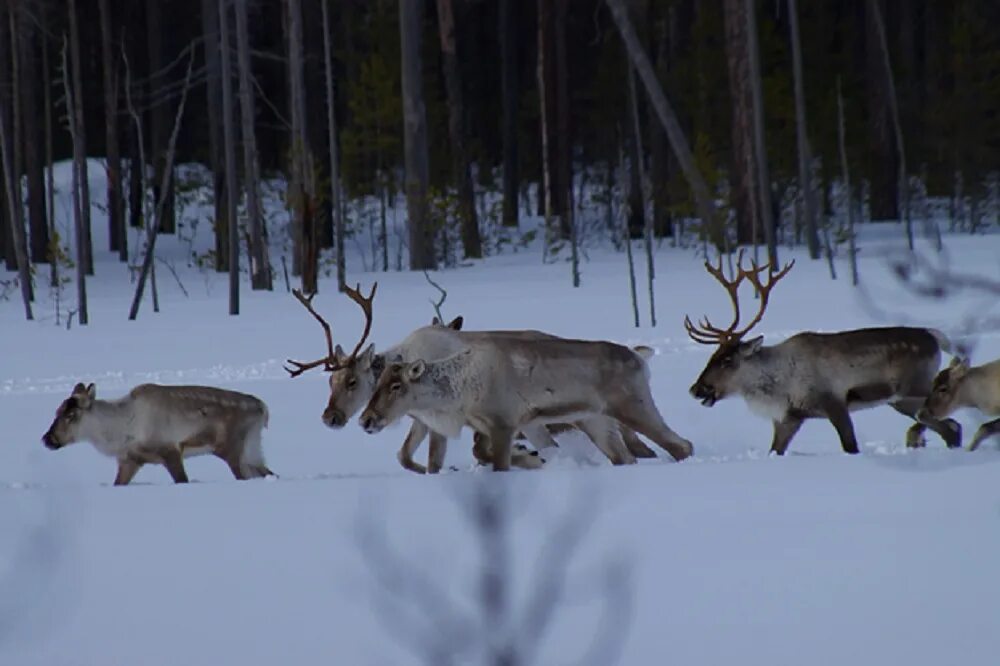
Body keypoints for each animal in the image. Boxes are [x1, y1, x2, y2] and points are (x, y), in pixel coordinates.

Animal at [44, 384, 274, 482]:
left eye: (71, 414)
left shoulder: (170, 450)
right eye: (56, 411)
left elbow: (182, 480)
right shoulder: (130, 459)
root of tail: (263, 408)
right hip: (252, 448)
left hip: (231, 448)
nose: (47, 439)